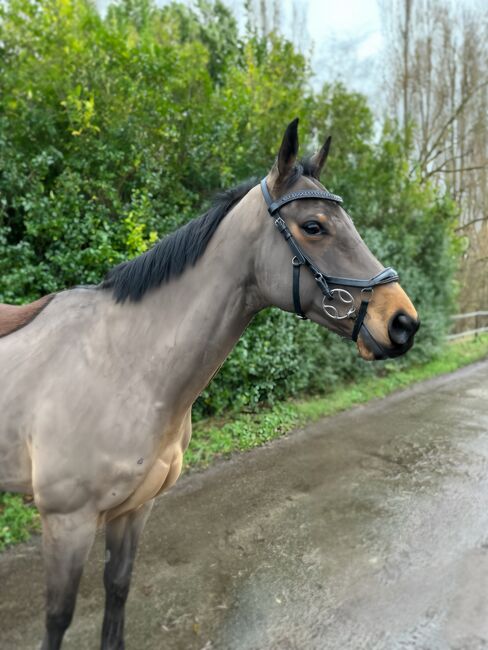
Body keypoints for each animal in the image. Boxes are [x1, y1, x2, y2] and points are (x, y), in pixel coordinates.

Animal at [0, 119, 420, 644]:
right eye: (314, 226)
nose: (403, 322)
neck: (123, 365)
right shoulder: (66, 523)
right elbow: (58, 619)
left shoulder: (133, 511)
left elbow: (117, 593)